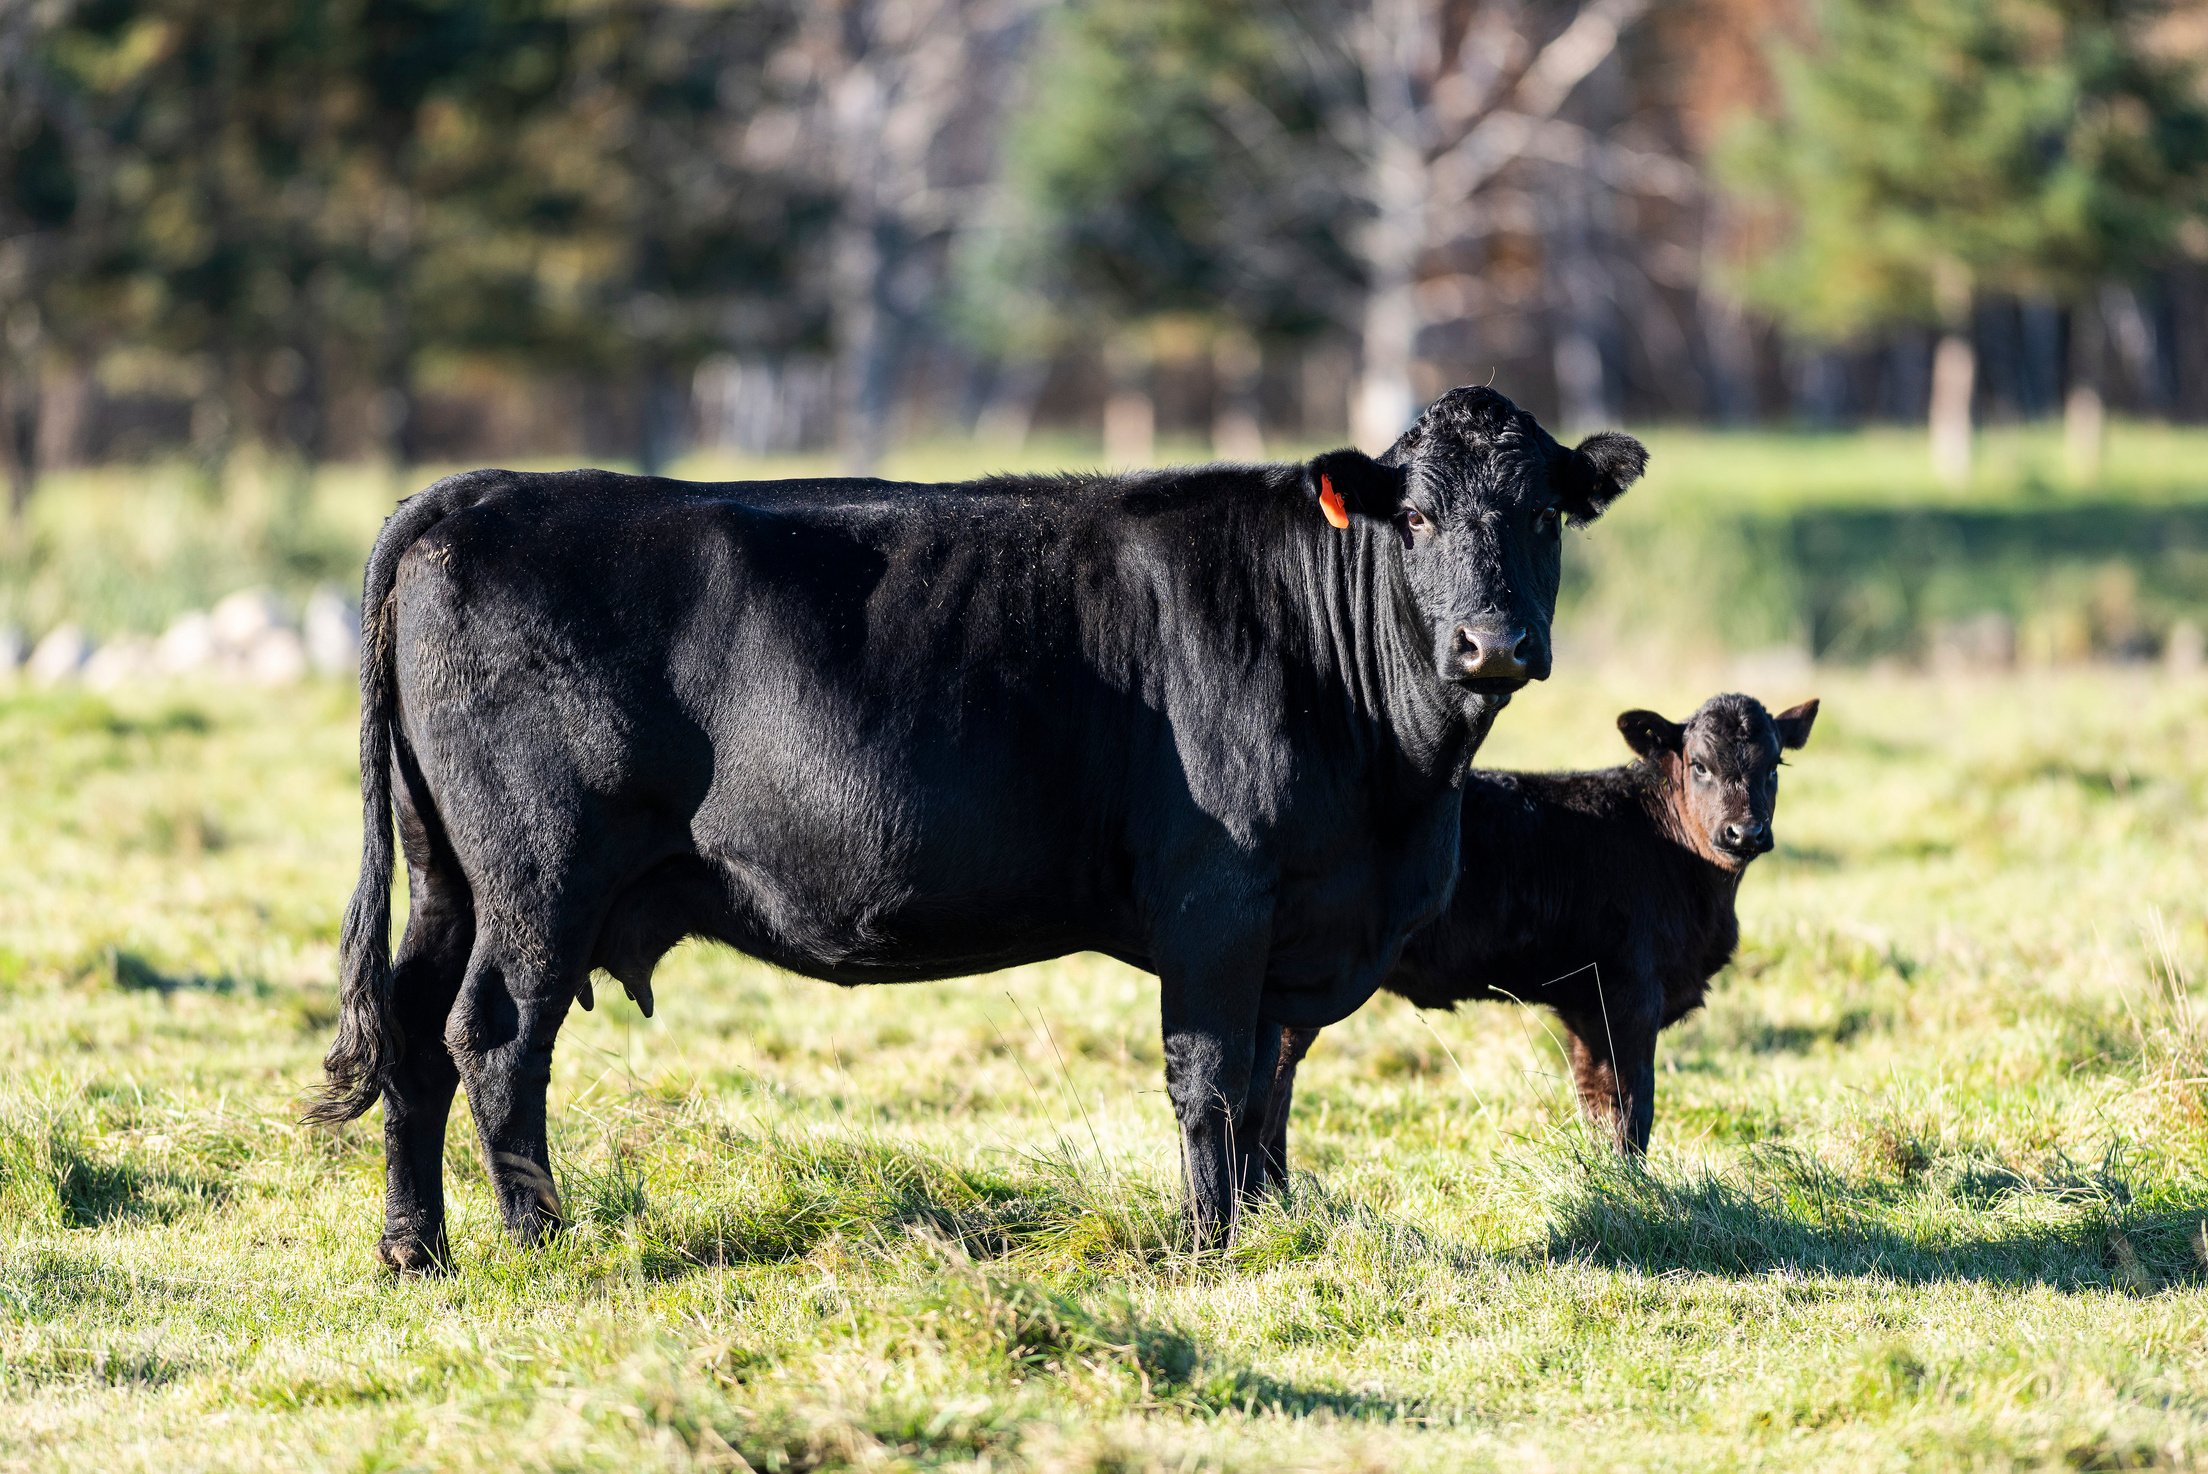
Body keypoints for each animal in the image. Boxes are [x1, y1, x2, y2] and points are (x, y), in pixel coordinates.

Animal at [315, 386, 1642, 1270]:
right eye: (1412, 518)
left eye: (1543, 514)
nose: (1492, 642)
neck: (1399, 797)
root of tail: (481, 489)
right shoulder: (1218, 900)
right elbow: (1212, 1079)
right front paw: (1211, 1247)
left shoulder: (1302, 932)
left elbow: (1273, 1086)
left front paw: (1270, 1227)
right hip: (540, 873)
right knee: (494, 1036)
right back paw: (543, 1241)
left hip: (449, 875)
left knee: (416, 1033)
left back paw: (415, 1249)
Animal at [1254, 692, 1819, 1173]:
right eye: (1699, 764)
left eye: (1774, 766)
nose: (1744, 833)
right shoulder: (1628, 994)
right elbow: (1631, 1107)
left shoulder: (1586, 1006)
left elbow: (1597, 1103)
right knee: (1272, 1080)